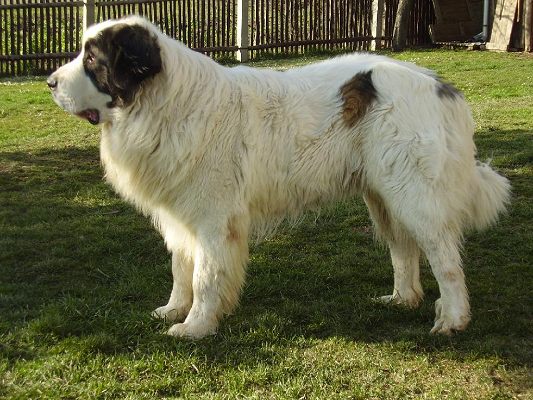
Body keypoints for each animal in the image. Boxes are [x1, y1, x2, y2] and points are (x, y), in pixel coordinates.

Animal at [48, 16, 510, 339]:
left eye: (92, 60)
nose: (50, 82)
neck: (163, 103)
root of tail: (439, 85)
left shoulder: (214, 219)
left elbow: (205, 275)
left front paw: (195, 326)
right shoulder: (181, 214)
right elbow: (181, 268)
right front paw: (174, 309)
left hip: (415, 195)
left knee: (444, 258)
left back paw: (452, 319)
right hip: (383, 195)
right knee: (403, 249)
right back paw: (402, 298)